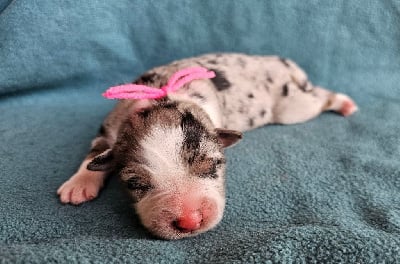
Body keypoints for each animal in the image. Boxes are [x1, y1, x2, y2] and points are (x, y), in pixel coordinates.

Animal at [55, 52, 356, 239]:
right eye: (134, 184)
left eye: (214, 165)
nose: (189, 221)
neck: (162, 98)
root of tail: (281, 63)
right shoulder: (109, 129)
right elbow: (95, 154)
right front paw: (78, 184)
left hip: (291, 107)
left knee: (320, 97)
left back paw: (345, 103)